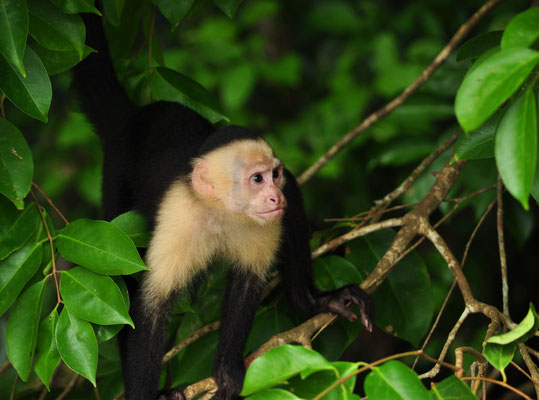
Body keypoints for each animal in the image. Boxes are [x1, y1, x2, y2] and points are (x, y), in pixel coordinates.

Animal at [74, 12, 374, 400]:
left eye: (273, 175)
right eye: (256, 179)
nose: (274, 195)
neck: (222, 212)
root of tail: (134, 119)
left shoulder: (263, 220)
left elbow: (247, 282)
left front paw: (227, 369)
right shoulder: (180, 218)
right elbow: (150, 305)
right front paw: (147, 393)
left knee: (293, 208)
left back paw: (308, 302)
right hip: (117, 176)